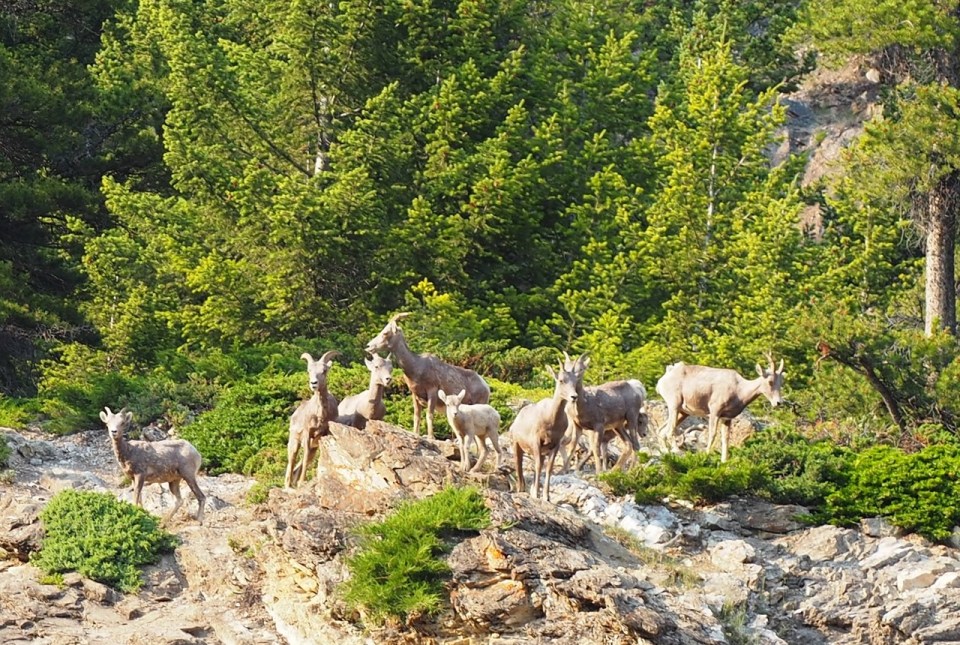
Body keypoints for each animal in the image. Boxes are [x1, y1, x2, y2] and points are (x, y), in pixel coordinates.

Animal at [284, 350, 340, 488]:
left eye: (324, 370)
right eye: (309, 370)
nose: (313, 383)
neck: (320, 414)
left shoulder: (323, 434)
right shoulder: (307, 433)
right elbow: (304, 458)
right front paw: (301, 483)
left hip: (312, 448)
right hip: (294, 444)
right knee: (291, 463)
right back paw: (289, 487)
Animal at [510, 359, 579, 502]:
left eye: (575, 380)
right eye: (561, 380)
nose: (574, 397)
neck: (551, 420)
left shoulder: (555, 445)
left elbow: (548, 469)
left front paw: (546, 497)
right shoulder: (536, 442)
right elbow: (537, 466)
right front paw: (536, 494)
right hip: (516, 445)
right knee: (518, 464)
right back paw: (520, 488)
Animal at [656, 354, 785, 462]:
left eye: (781, 382)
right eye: (770, 381)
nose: (778, 403)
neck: (738, 389)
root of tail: (664, 378)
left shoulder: (727, 418)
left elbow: (725, 439)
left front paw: (724, 462)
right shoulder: (714, 412)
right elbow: (712, 434)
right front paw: (706, 455)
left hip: (683, 412)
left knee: (661, 431)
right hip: (674, 406)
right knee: (668, 431)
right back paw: (673, 453)